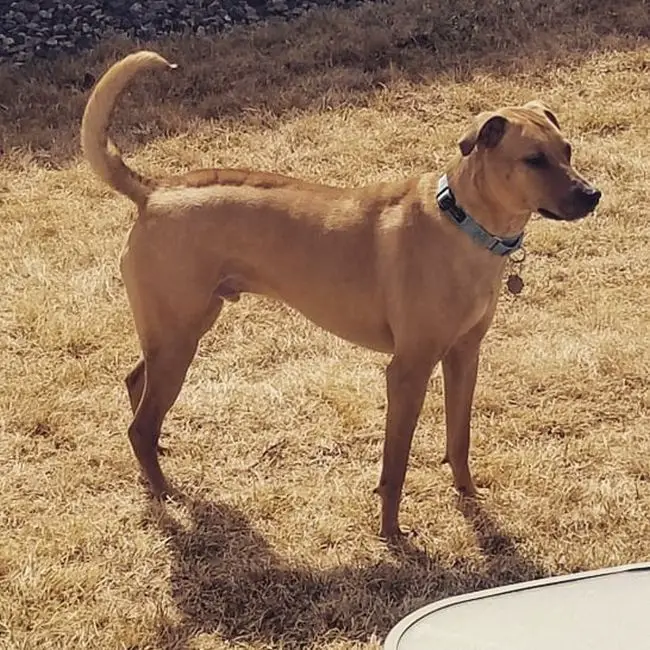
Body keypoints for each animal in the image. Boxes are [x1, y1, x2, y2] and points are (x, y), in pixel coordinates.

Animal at [82, 49, 604, 536]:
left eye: (568, 150)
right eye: (533, 160)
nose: (593, 195)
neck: (465, 225)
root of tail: (154, 191)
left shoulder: (464, 356)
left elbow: (459, 440)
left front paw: (468, 497)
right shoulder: (408, 371)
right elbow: (395, 466)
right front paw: (392, 534)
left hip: (177, 332)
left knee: (136, 388)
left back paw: (155, 462)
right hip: (179, 340)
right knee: (139, 423)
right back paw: (166, 491)